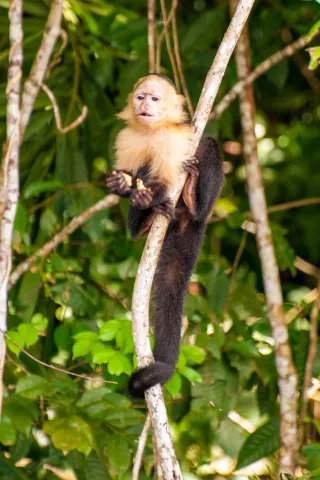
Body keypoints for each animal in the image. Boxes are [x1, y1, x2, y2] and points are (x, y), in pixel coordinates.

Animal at [105, 74, 222, 398]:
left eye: (155, 99)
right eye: (140, 96)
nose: (145, 105)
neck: (151, 131)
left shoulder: (171, 142)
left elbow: (168, 178)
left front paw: (155, 192)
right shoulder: (127, 139)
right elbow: (131, 171)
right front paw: (123, 185)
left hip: (202, 211)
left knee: (208, 149)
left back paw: (192, 197)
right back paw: (144, 222)